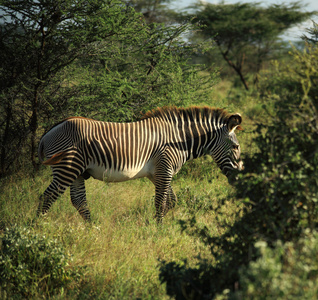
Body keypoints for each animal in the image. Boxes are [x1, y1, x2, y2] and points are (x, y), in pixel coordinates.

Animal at [38, 106, 245, 221]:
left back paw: (93, 229)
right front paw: (158, 231)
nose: (239, 180)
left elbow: (171, 201)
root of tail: (48, 133)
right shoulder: (164, 170)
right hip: (67, 167)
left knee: (79, 201)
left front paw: (153, 224)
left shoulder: (157, 174)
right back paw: (39, 228)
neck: (180, 140)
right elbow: (160, 202)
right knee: (47, 197)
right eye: (235, 147)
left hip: (78, 172)